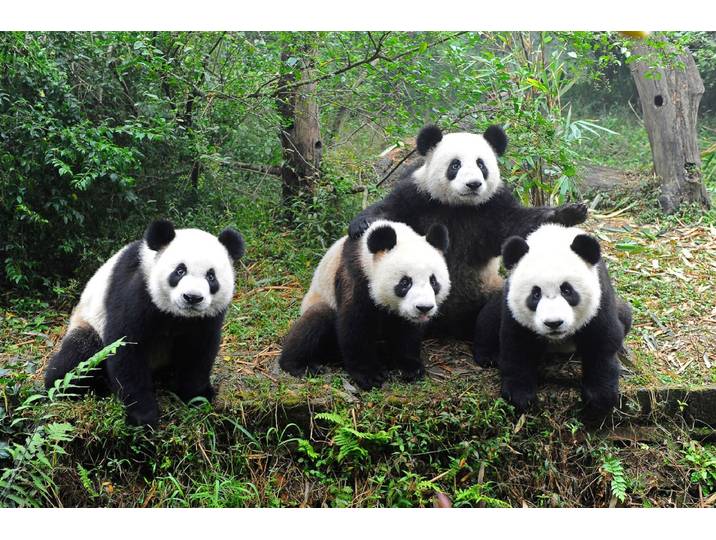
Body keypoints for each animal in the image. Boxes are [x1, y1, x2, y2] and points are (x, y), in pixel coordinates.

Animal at [44, 219, 245, 427]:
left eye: (211, 276)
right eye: (180, 271)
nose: (192, 297)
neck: (177, 314)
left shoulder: (206, 317)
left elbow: (198, 351)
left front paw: (198, 397)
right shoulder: (136, 290)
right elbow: (126, 348)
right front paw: (143, 416)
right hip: (88, 321)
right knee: (79, 356)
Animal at [279, 220, 451, 390]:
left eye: (433, 281)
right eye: (405, 282)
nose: (424, 308)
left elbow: (407, 330)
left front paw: (410, 367)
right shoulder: (356, 274)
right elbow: (356, 325)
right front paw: (370, 375)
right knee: (317, 319)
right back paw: (300, 365)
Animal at [348, 124, 588, 339]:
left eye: (481, 164)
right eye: (455, 165)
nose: (473, 184)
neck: (459, 206)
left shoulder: (493, 205)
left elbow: (519, 225)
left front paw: (570, 212)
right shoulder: (418, 196)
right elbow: (390, 210)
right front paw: (361, 225)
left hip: (487, 288)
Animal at [473, 223, 632, 418]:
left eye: (567, 290)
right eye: (535, 294)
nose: (553, 323)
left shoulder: (600, 298)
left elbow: (602, 341)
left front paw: (599, 398)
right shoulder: (513, 308)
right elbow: (517, 346)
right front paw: (520, 396)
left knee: (625, 315)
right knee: (489, 317)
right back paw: (488, 356)